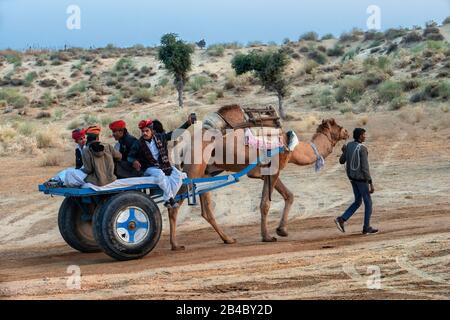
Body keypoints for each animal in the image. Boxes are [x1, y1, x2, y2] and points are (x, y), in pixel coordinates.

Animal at [167, 105, 350, 250]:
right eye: (337, 125)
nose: (347, 132)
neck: (291, 146)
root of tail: (182, 145)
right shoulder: (274, 169)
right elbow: (265, 204)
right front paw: (267, 236)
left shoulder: (266, 172)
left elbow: (288, 195)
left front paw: (281, 230)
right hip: (193, 169)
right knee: (174, 204)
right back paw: (175, 245)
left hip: (205, 173)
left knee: (206, 211)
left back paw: (228, 239)